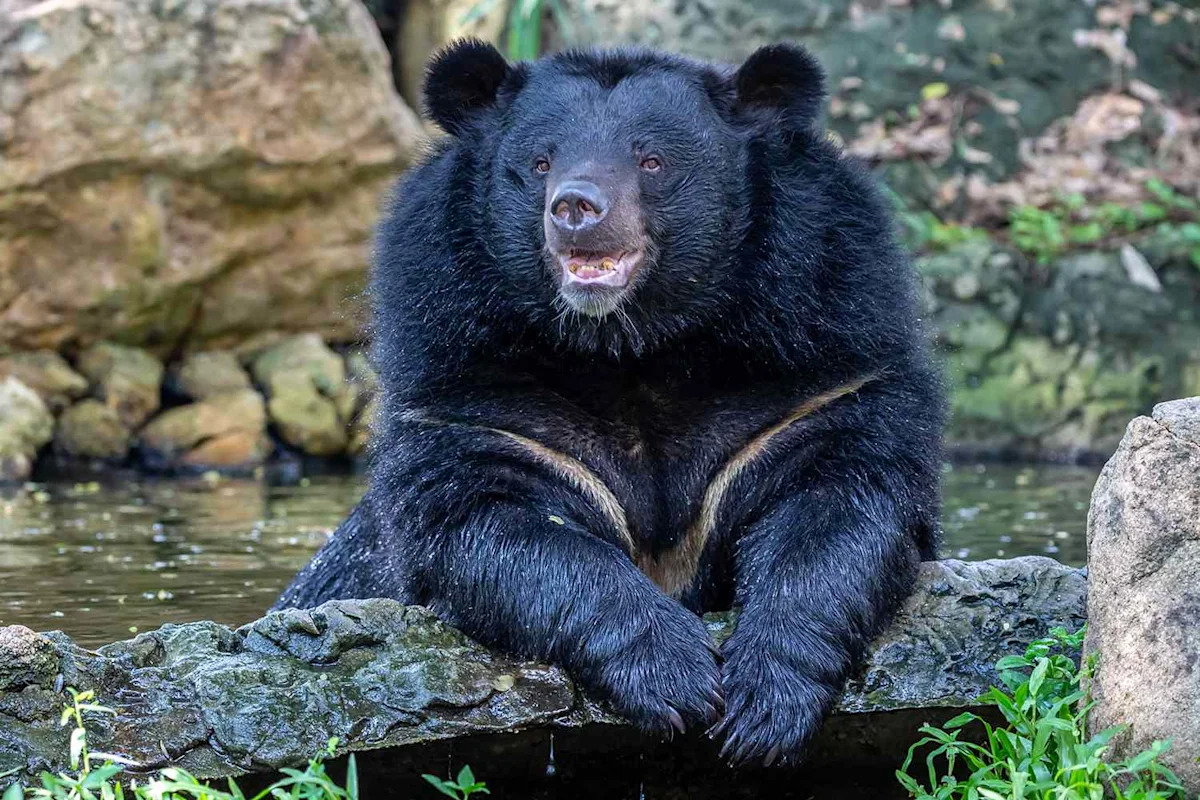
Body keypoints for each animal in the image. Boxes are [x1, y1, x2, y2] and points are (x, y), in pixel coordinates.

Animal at [276, 39, 944, 766]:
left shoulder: (818, 373)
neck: (630, 348)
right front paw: (677, 678)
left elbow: (837, 506)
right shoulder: (472, 395)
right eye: (541, 162)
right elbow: (495, 525)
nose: (576, 208)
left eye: (651, 160)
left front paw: (762, 707)